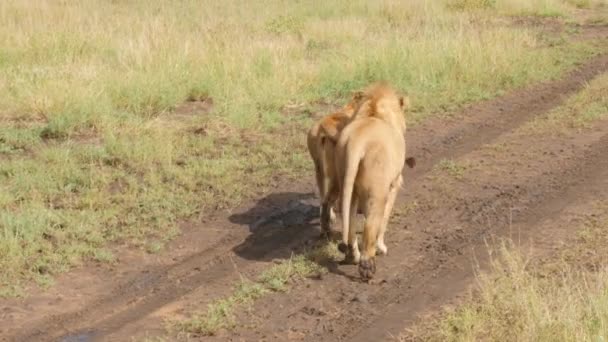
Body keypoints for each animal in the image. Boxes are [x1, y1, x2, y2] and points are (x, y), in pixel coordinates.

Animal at [332, 81, 414, 280]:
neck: (374, 110)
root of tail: (357, 141)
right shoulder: (394, 184)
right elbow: (384, 219)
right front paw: (381, 247)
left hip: (347, 181)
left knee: (349, 220)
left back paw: (351, 256)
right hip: (378, 190)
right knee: (370, 225)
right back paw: (367, 265)